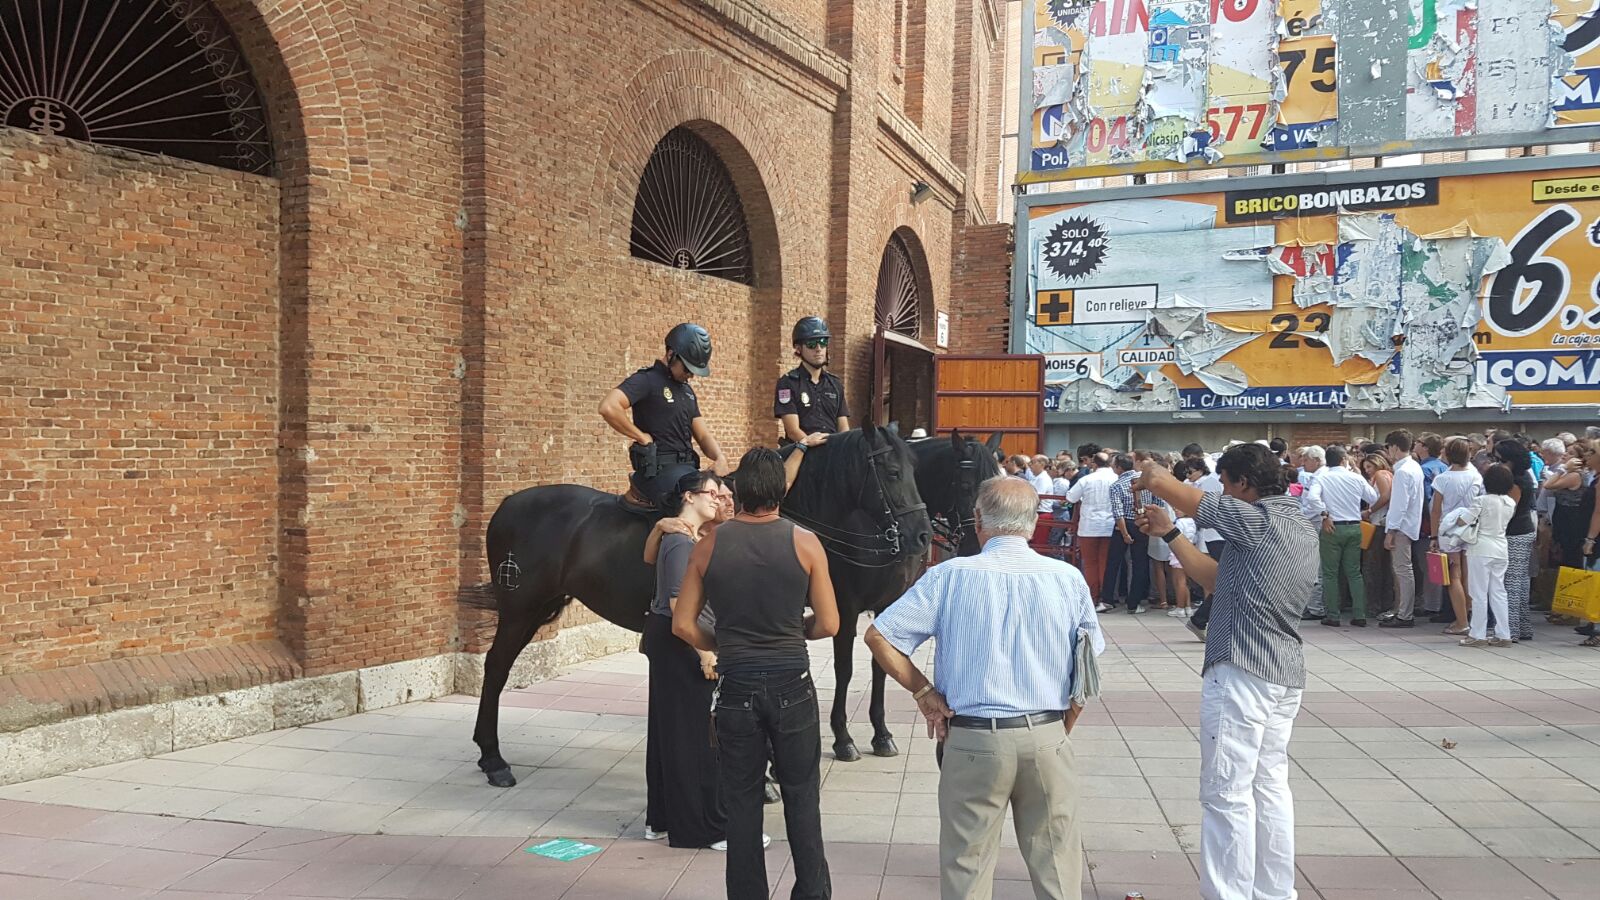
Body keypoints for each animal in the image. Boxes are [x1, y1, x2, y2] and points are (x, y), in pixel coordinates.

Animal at [467, 422, 934, 781]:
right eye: (893, 471)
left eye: (917, 469)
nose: (923, 536)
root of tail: (506, 505)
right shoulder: (841, 611)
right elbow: (841, 670)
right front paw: (835, 743)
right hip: (519, 611)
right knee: (496, 668)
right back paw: (493, 758)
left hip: (535, 609)